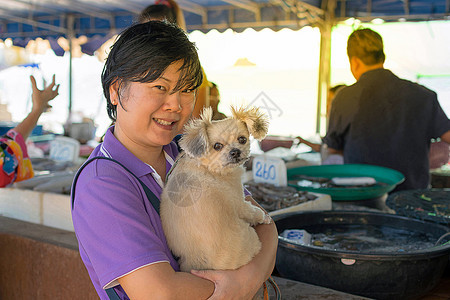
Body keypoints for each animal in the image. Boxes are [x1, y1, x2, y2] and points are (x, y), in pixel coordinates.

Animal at [163, 105, 272, 272]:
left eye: (242, 139)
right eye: (217, 146)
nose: (235, 151)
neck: (206, 165)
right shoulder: (239, 202)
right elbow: (253, 211)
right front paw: (264, 217)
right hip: (251, 237)